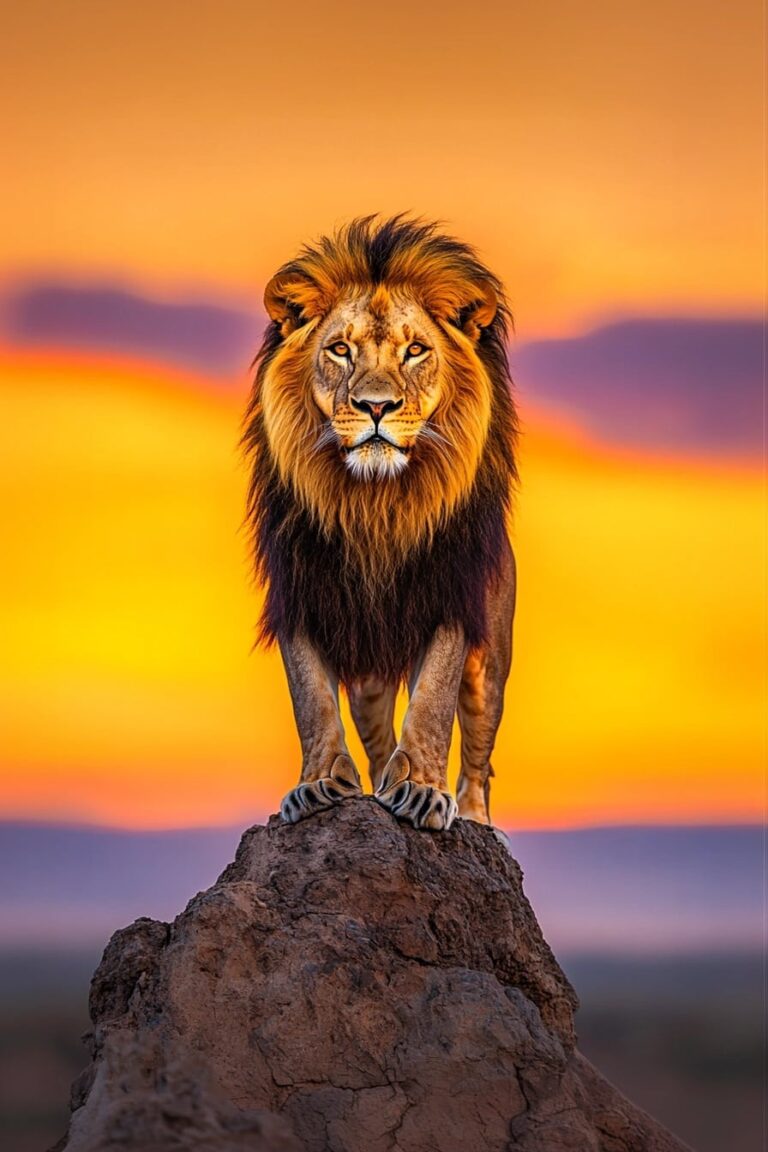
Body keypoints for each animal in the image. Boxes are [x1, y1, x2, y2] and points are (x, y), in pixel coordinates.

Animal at [242, 215, 518, 831]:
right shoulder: (302, 595)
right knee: (376, 734)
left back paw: (475, 818)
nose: (375, 406)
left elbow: (433, 703)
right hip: (368, 676)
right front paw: (318, 784)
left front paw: (422, 790)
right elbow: (313, 701)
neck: (375, 506)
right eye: (340, 350)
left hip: (491, 663)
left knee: (480, 754)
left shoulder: (448, 596)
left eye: (415, 350)